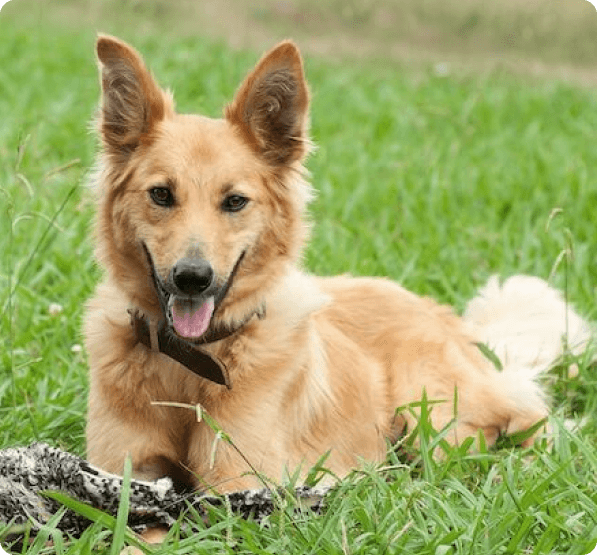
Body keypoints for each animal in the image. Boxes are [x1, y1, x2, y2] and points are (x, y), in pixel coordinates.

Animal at [85, 34, 592, 496]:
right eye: (161, 194)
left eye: (234, 201)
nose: (193, 278)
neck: (188, 366)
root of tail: (442, 315)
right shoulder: (121, 473)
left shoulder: (236, 484)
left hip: (434, 414)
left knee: (533, 422)